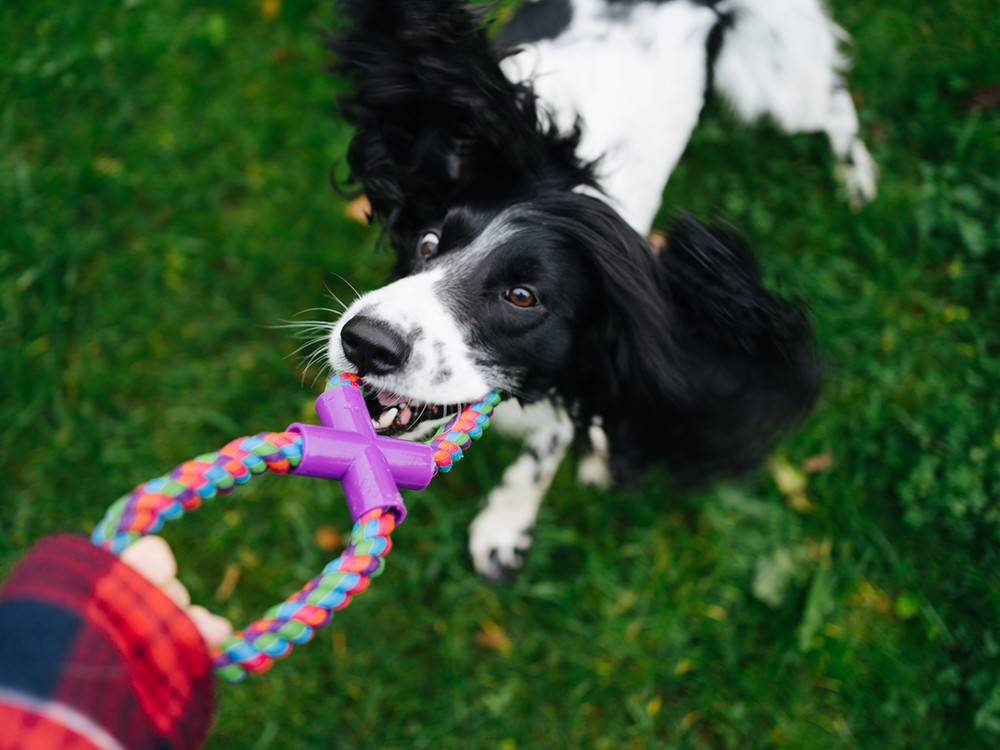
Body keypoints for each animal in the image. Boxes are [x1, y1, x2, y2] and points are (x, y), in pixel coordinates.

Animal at [318, 0, 868, 580]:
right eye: (427, 243)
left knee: (836, 104)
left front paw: (505, 526)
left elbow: (546, 450)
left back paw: (857, 182)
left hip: (775, 88)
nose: (364, 341)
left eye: (523, 296)